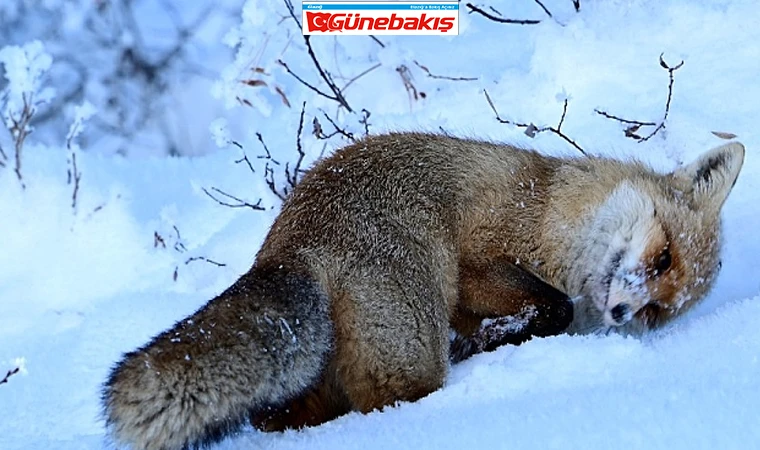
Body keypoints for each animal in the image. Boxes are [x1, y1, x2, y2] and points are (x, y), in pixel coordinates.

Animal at [101, 134, 744, 450]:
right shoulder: (482, 254)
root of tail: (292, 241)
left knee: (283, 415)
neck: (555, 216)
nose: (623, 311)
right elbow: (551, 307)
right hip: (413, 348)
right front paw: (503, 335)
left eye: (658, 312)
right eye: (663, 257)